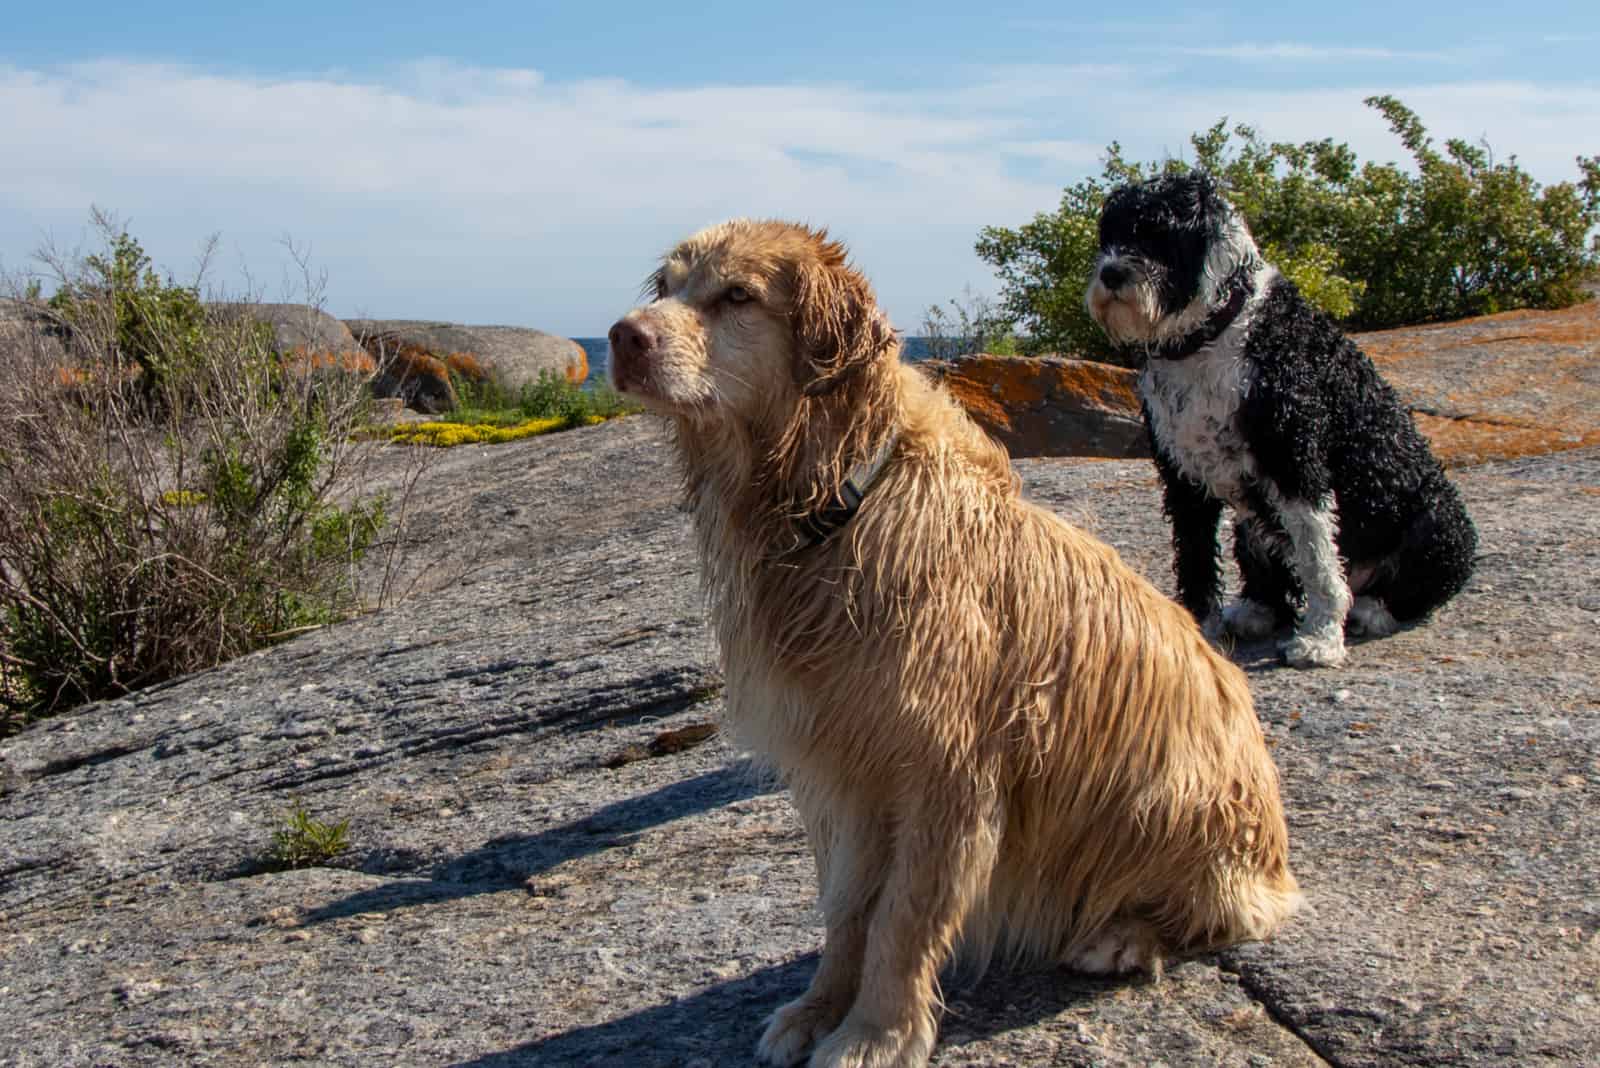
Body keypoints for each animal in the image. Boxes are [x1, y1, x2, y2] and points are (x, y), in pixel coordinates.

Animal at [604, 219, 1292, 1068]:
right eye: (665, 288)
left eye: (737, 295)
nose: (622, 337)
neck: (834, 503)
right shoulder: (840, 771)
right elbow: (846, 909)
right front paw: (817, 1008)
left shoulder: (948, 773)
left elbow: (903, 917)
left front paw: (876, 1033)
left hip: (1172, 796)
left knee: (1236, 911)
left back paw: (1126, 936)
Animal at [1088, 170, 1472, 661]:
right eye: (1112, 233)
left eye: (1160, 234)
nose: (1111, 272)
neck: (1215, 333)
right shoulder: (1182, 475)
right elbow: (1194, 556)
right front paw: (1198, 628)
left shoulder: (1293, 457)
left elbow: (1318, 558)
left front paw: (1321, 638)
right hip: (1252, 520)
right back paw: (1257, 610)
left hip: (1437, 522)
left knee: (1409, 588)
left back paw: (1370, 611)